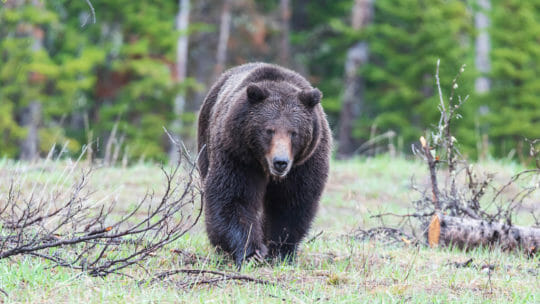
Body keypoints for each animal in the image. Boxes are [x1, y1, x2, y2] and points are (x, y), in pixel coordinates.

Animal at [198, 62, 332, 266]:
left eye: (294, 133)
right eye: (269, 130)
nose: (280, 162)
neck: (263, 164)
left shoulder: (304, 165)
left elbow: (291, 204)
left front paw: (280, 252)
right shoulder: (237, 156)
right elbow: (233, 198)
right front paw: (251, 252)